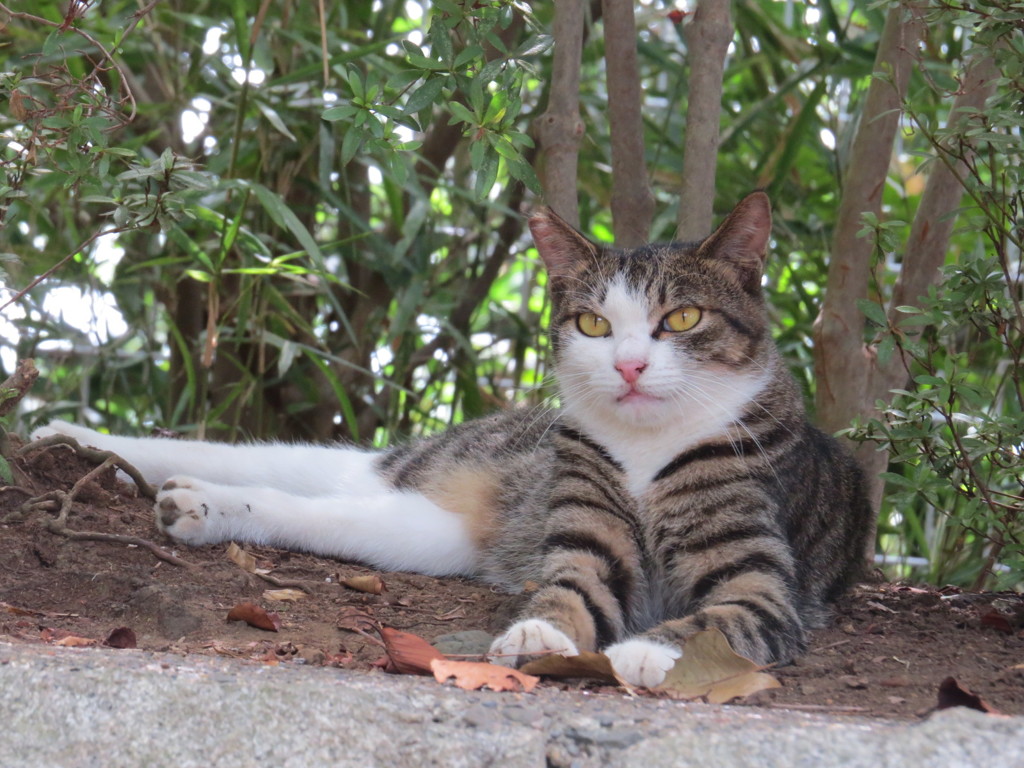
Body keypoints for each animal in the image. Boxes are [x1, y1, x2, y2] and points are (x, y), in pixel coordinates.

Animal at [37, 192, 872, 692]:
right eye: (593, 324)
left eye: (685, 319)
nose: (630, 365)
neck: (643, 451)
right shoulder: (585, 546)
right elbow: (568, 591)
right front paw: (541, 631)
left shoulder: (764, 583)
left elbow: (716, 616)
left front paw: (648, 651)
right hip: (420, 472)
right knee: (261, 464)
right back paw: (77, 442)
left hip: (430, 528)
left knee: (311, 503)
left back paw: (182, 500)